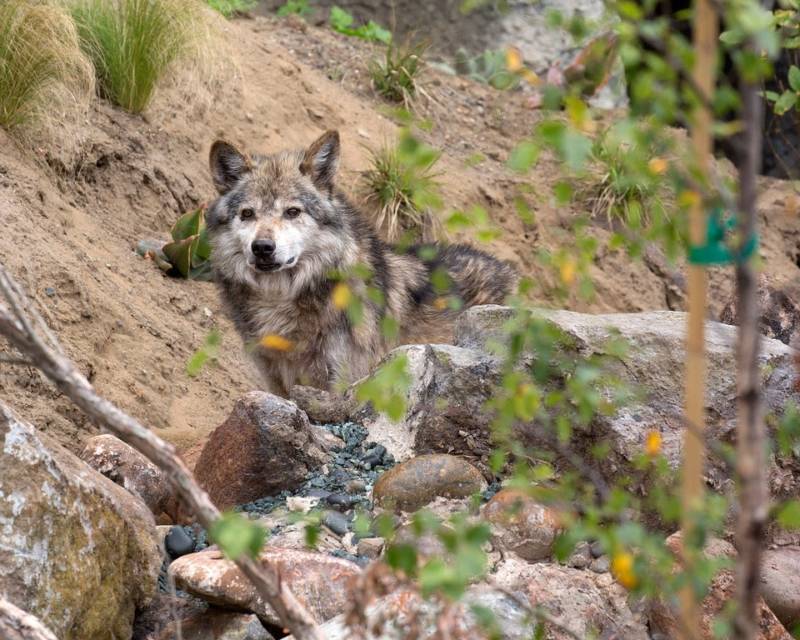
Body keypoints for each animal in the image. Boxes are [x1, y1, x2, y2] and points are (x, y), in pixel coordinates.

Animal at [205, 130, 518, 397]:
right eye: (247, 214)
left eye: (292, 212)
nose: (262, 248)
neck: (279, 300)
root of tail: (510, 271)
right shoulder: (275, 382)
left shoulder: (341, 383)